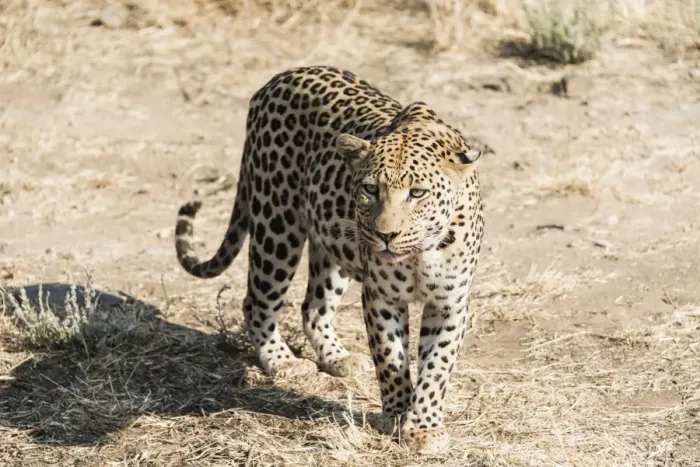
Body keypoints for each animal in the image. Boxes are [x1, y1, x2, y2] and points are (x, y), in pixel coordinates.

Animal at [174, 66, 484, 454]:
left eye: (417, 193)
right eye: (370, 189)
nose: (385, 235)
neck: (420, 252)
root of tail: (278, 78)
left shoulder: (449, 303)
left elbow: (437, 367)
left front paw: (423, 427)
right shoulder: (381, 297)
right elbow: (391, 358)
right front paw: (396, 415)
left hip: (332, 249)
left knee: (313, 306)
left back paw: (337, 357)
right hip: (277, 227)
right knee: (257, 301)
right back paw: (283, 361)